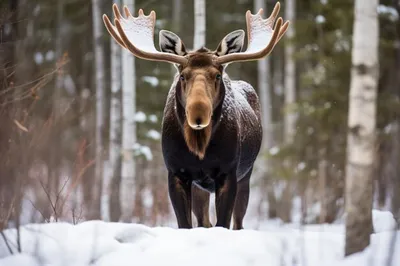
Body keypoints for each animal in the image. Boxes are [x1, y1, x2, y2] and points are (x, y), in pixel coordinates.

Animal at [103, 2, 290, 229]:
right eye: (183, 75)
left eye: (217, 75)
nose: (198, 115)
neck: (199, 147)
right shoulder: (176, 173)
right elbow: (186, 224)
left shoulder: (228, 173)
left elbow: (223, 223)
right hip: (201, 186)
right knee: (204, 221)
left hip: (246, 175)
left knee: (238, 223)